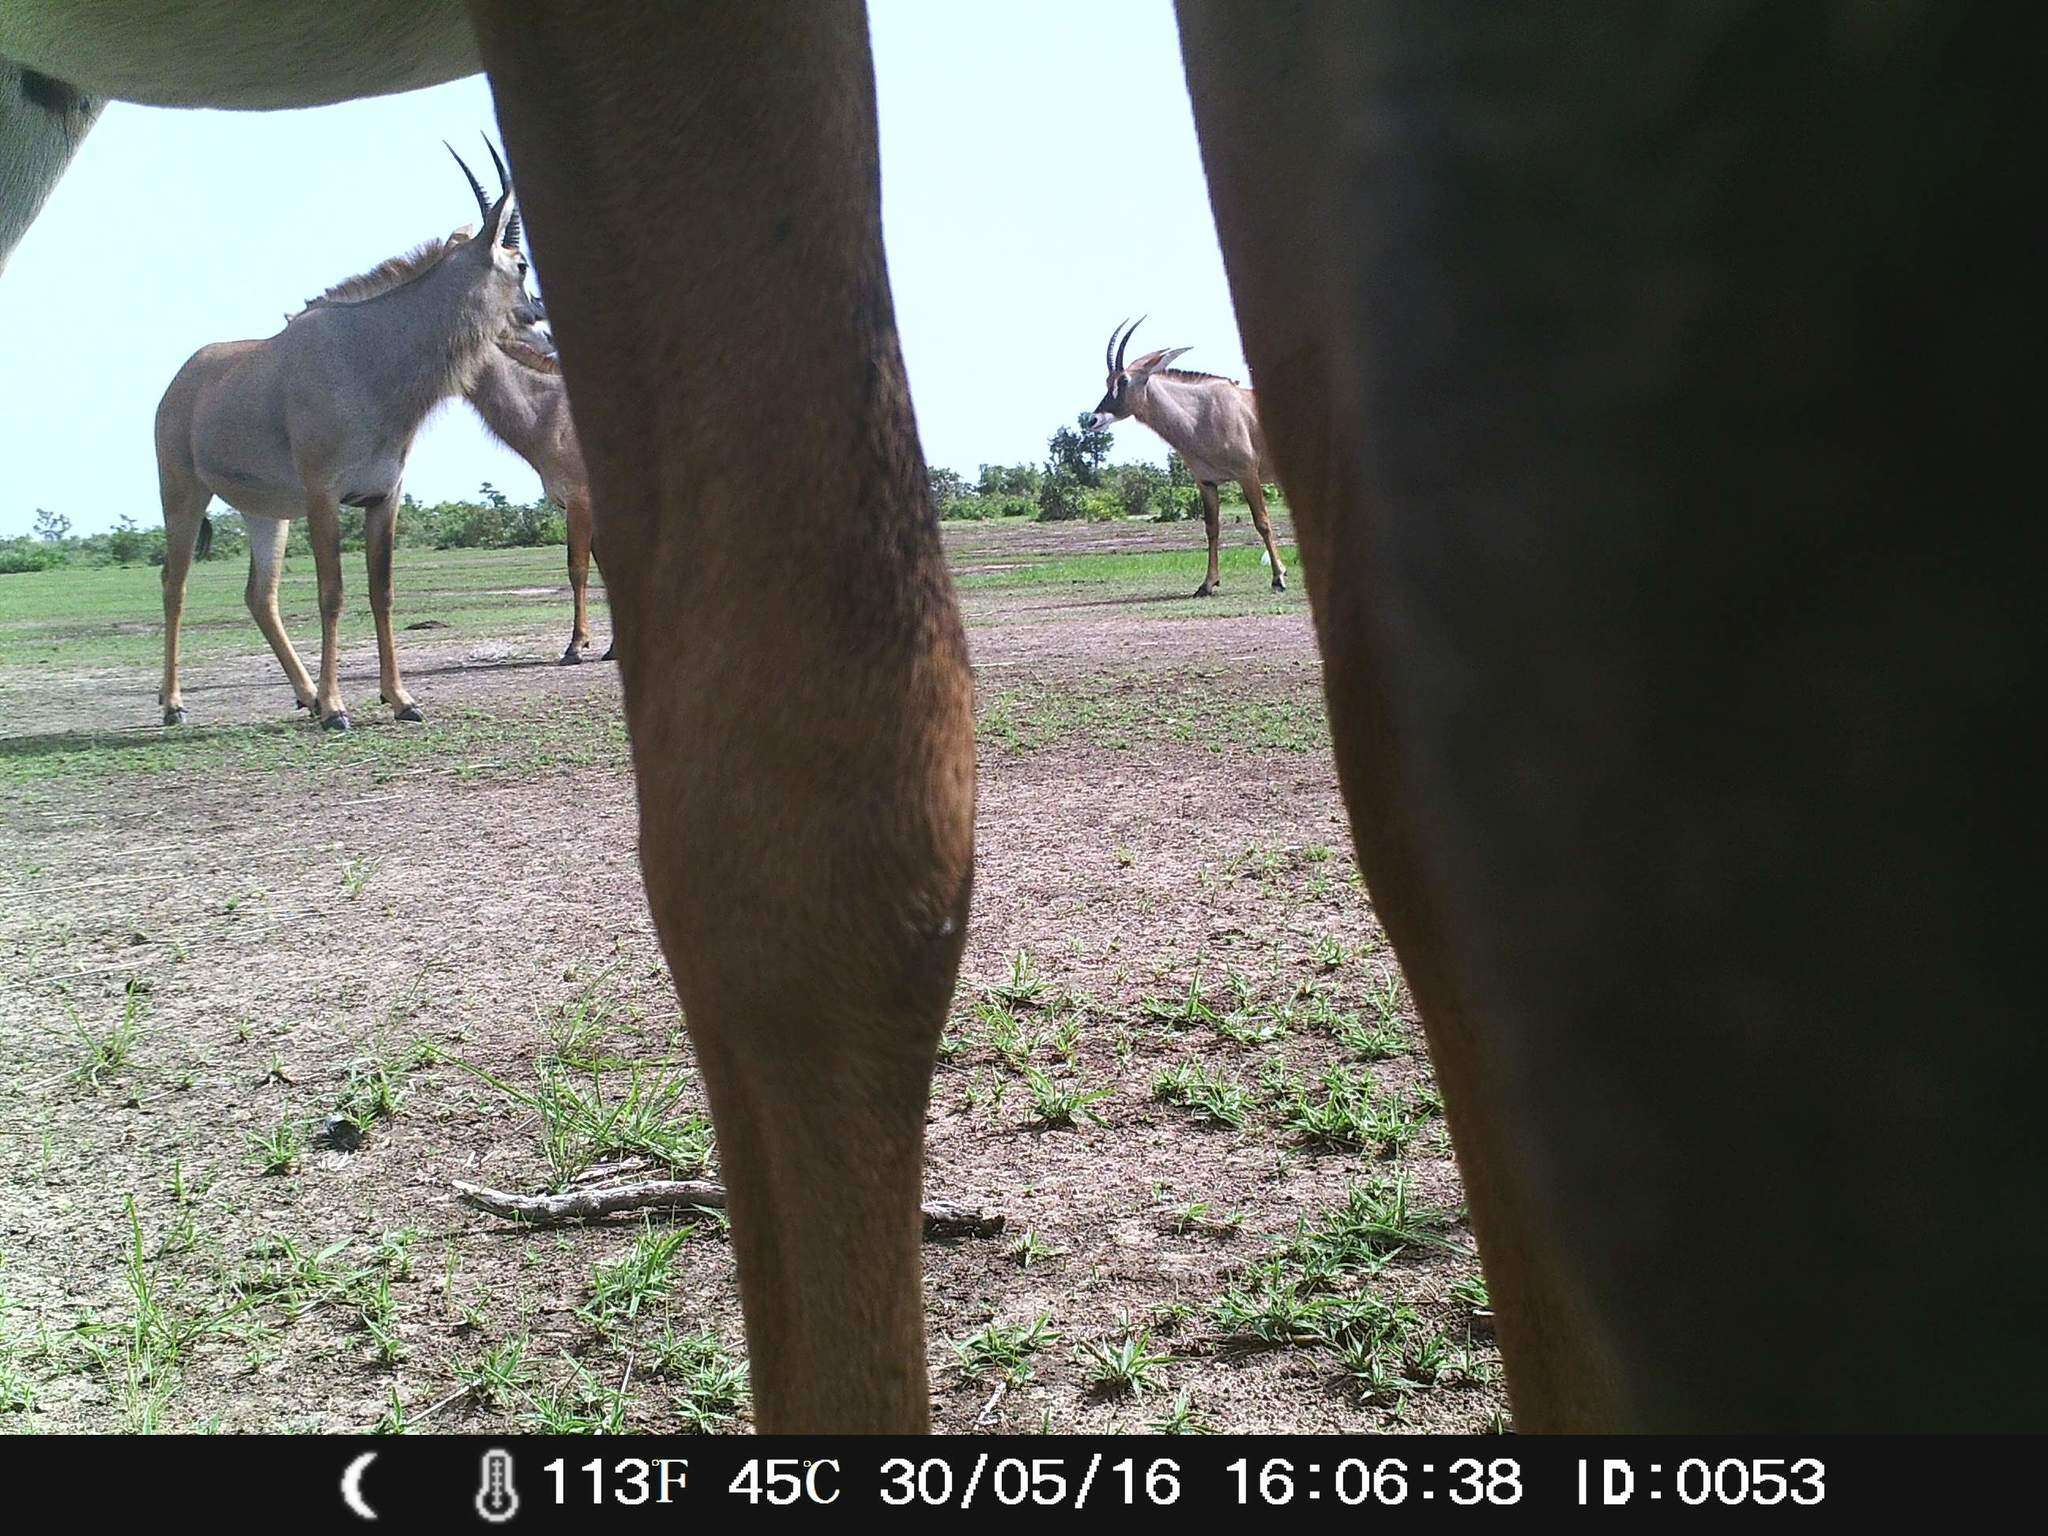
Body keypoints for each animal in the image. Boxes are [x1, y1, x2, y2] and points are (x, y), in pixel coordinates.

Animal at [152, 141, 544, 729]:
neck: (371, 357)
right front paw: (338, 708)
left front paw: (400, 698)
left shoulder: (384, 496)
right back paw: (176, 703)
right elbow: (332, 593)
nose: (536, 313)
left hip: (266, 514)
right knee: (173, 584)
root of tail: (179, 382)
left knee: (259, 596)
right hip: (183, 493)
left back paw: (305, 694)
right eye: (519, 263)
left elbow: (382, 592)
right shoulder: (324, 495)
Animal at [1089, 315, 1277, 598]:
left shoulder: (1248, 475)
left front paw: (1279, 578)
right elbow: (1212, 529)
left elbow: (1262, 522)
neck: (1201, 414)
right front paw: (1207, 584)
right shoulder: (1206, 482)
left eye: (1123, 381)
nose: (1093, 420)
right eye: (1107, 381)